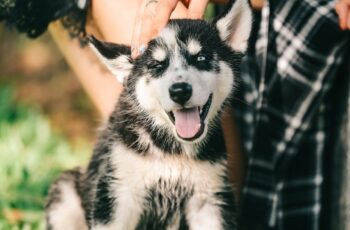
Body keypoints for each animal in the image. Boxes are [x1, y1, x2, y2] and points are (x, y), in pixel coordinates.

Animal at [45, 0, 252, 229]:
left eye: (201, 58)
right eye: (156, 66)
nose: (180, 91)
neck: (172, 153)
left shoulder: (209, 199)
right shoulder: (117, 193)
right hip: (65, 193)